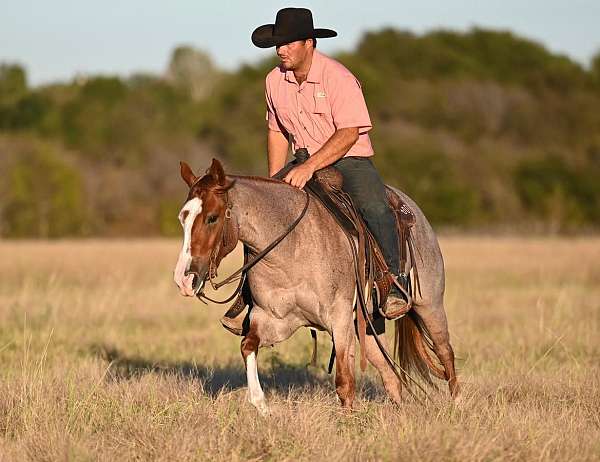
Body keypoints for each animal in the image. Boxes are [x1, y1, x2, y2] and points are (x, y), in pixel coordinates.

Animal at [175, 160, 460, 416]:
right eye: (182, 219)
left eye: (212, 218)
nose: (183, 280)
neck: (292, 245)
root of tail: (412, 209)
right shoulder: (275, 319)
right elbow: (248, 346)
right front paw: (263, 407)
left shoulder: (340, 319)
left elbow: (345, 382)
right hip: (369, 326)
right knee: (390, 375)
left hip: (430, 305)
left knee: (445, 353)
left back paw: (456, 407)